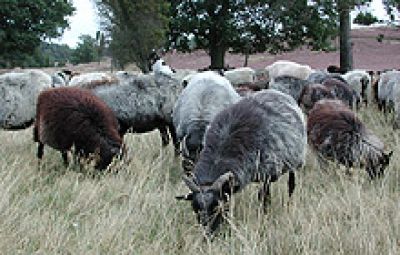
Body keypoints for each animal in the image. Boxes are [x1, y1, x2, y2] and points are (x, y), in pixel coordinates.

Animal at [177, 89, 306, 235]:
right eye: (195, 207)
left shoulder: (266, 176)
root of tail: (277, 92)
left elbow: (264, 199)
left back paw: (289, 205)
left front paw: (264, 219)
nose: (208, 234)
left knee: (291, 185)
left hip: (295, 162)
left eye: (216, 206)